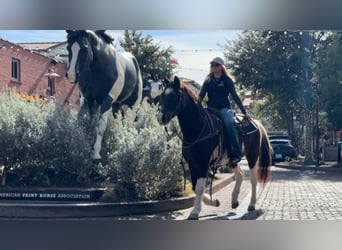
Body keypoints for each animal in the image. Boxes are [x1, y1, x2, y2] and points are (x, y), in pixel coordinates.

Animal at [66, 30, 142, 159]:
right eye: (68, 48)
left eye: (85, 49)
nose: (71, 75)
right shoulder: (88, 100)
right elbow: (85, 121)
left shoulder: (107, 100)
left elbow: (100, 126)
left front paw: (96, 154)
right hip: (116, 105)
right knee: (118, 122)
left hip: (133, 105)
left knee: (129, 123)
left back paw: (125, 145)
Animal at [158, 76, 272, 219]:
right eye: (162, 95)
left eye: (175, 96)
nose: (161, 117)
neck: (198, 128)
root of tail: (255, 122)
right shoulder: (192, 163)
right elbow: (195, 187)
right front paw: (215, 202)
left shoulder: (202, 163)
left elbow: (200, 187)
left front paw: (195, 211)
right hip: (232, 159)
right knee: (240, 175)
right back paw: (234, 201)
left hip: (252, 157)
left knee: (253, 179)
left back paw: (251, 205)